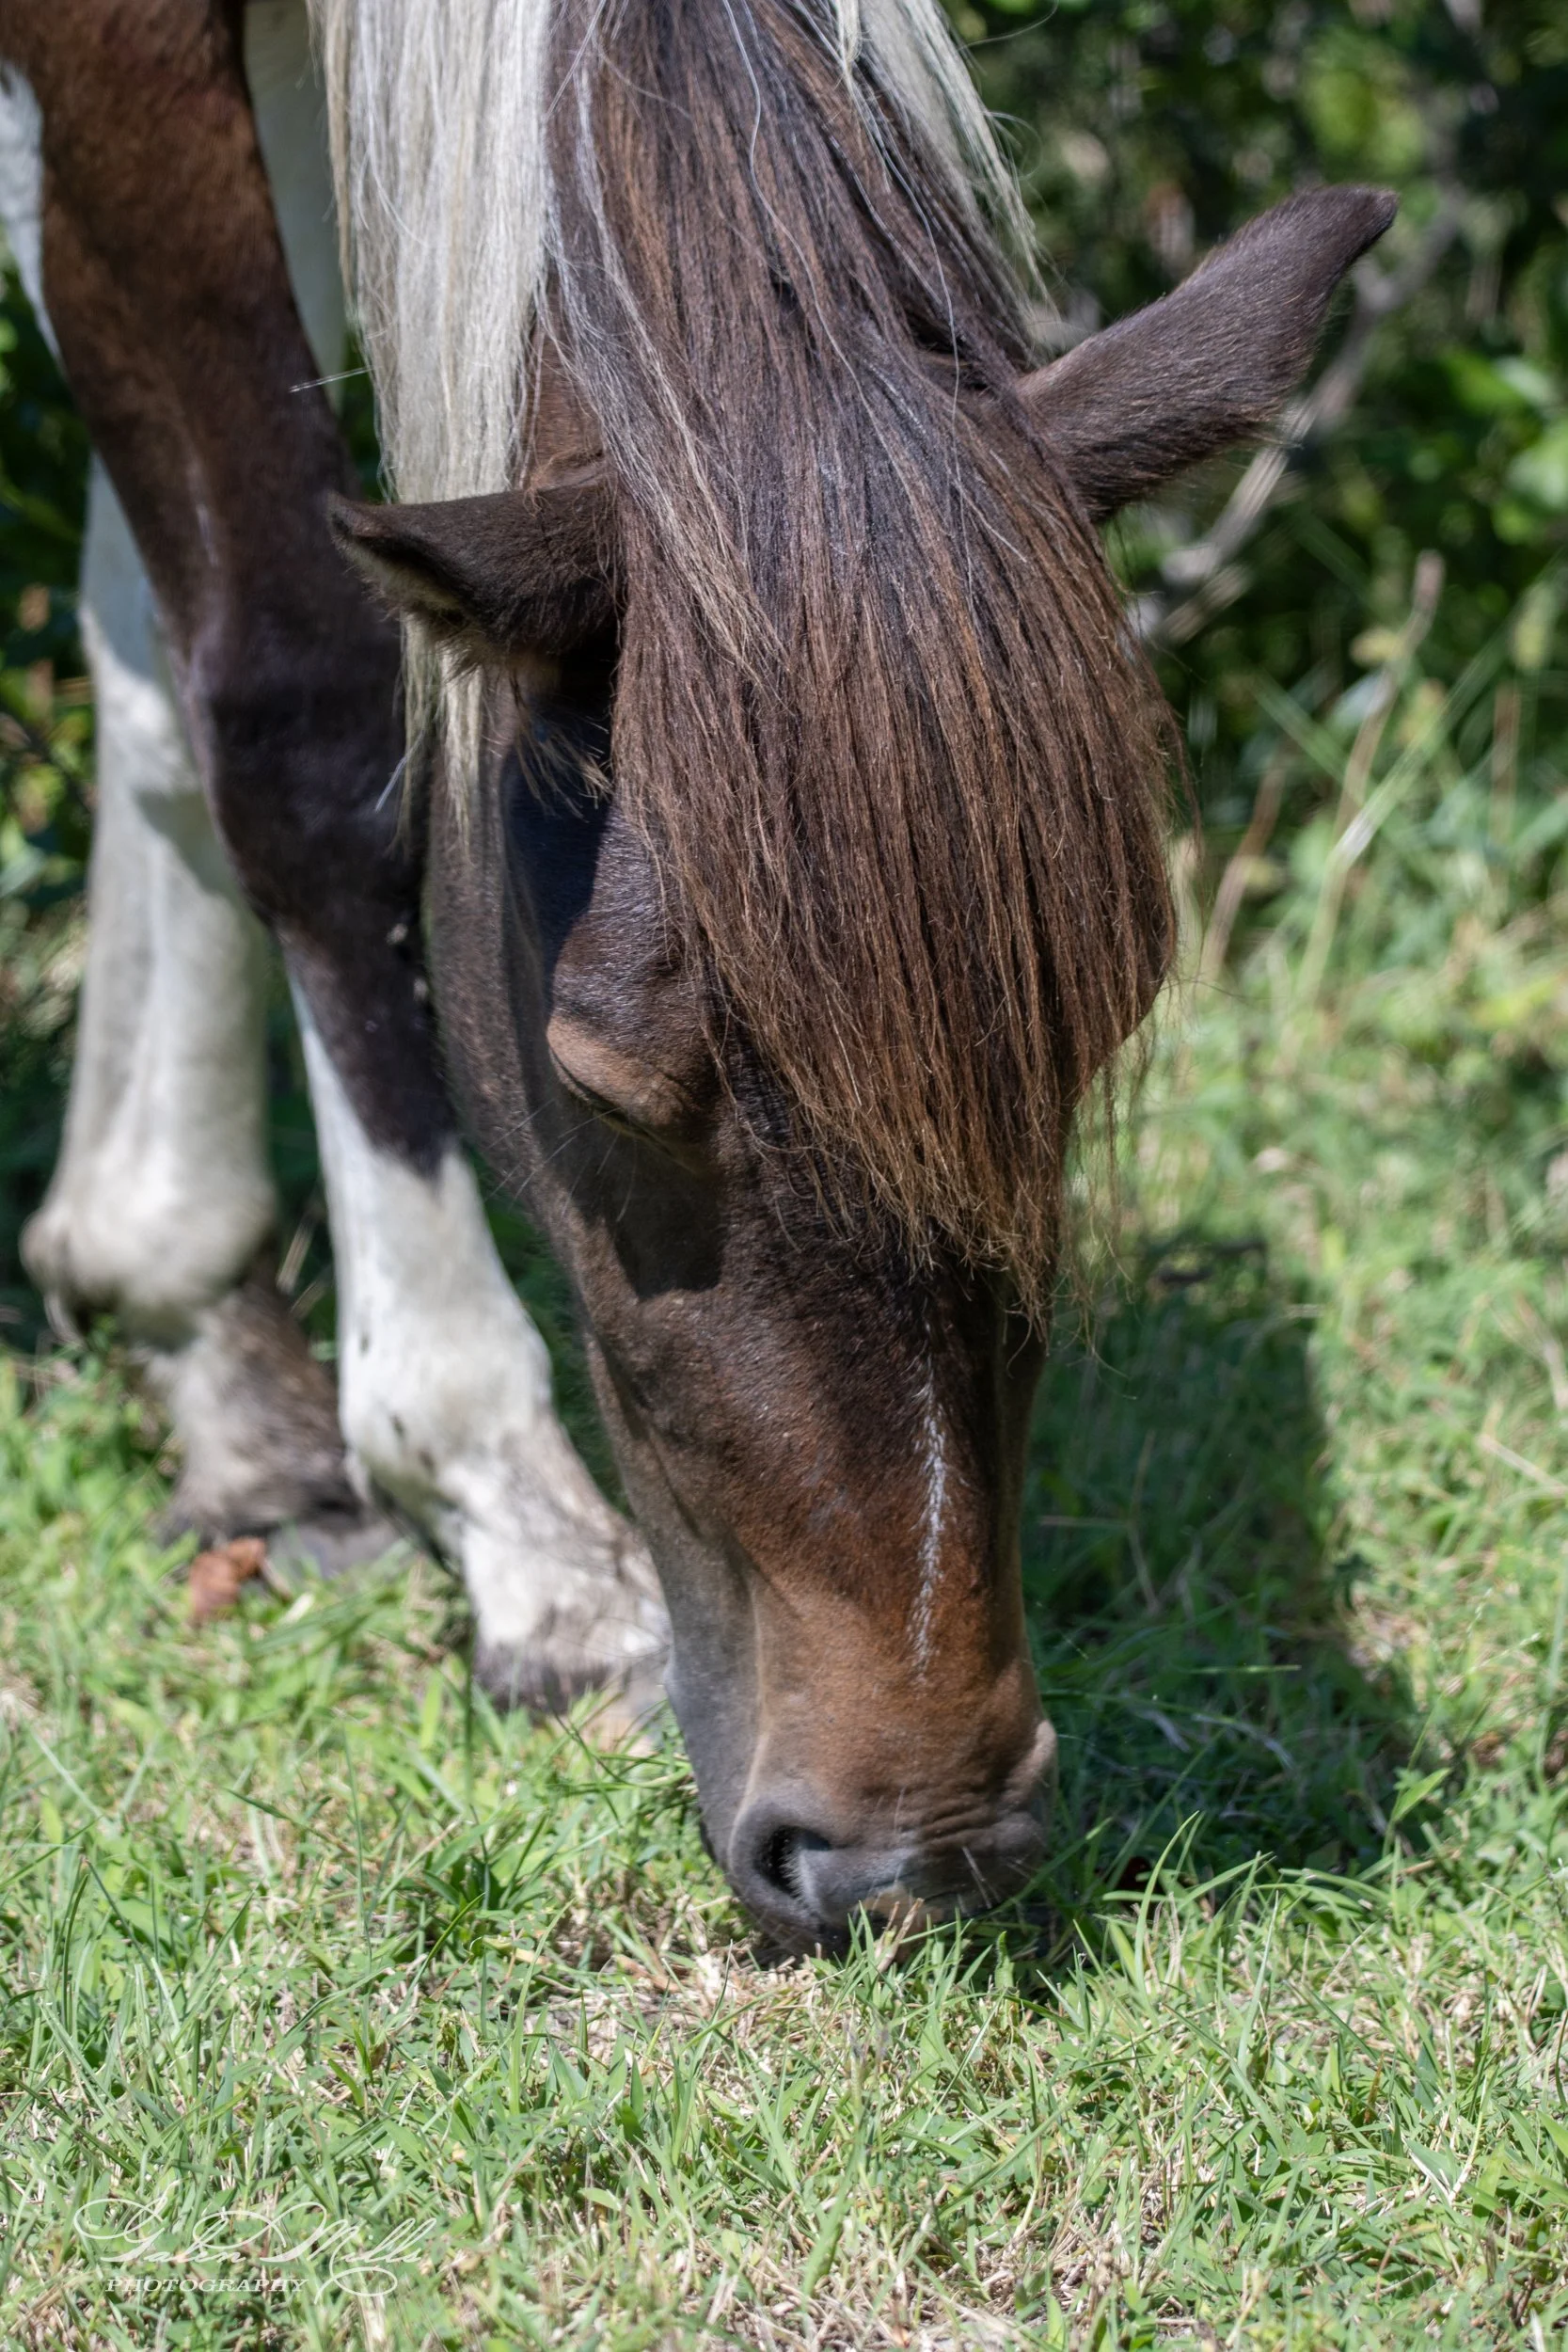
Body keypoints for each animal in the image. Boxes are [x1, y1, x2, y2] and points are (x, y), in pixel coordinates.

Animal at [0, 0, 1392, 1948]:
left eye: (1090, 1036)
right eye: (599, 1080)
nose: (912, 1858)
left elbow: (155, 682)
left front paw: (177, 1297)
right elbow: (292, 713)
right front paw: (503, 1510)